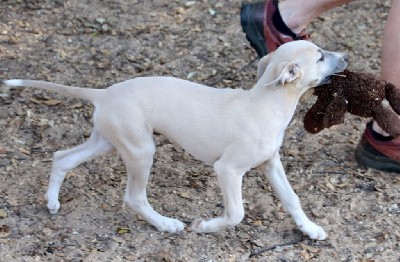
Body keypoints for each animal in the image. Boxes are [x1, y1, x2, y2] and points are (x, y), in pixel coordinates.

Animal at [2, 40, 346, 239]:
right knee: (134, 197)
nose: (345, 56)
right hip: (141, 151)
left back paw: (51, 201)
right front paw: (205, 227)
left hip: (108, 140)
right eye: (320, 56)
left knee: (62, 157)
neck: (265, 103)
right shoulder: (228, 170)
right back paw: (166, 224)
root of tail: (104, 93)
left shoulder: (270, 164)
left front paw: (310, 229)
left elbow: (291, 199)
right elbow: (236, 214)